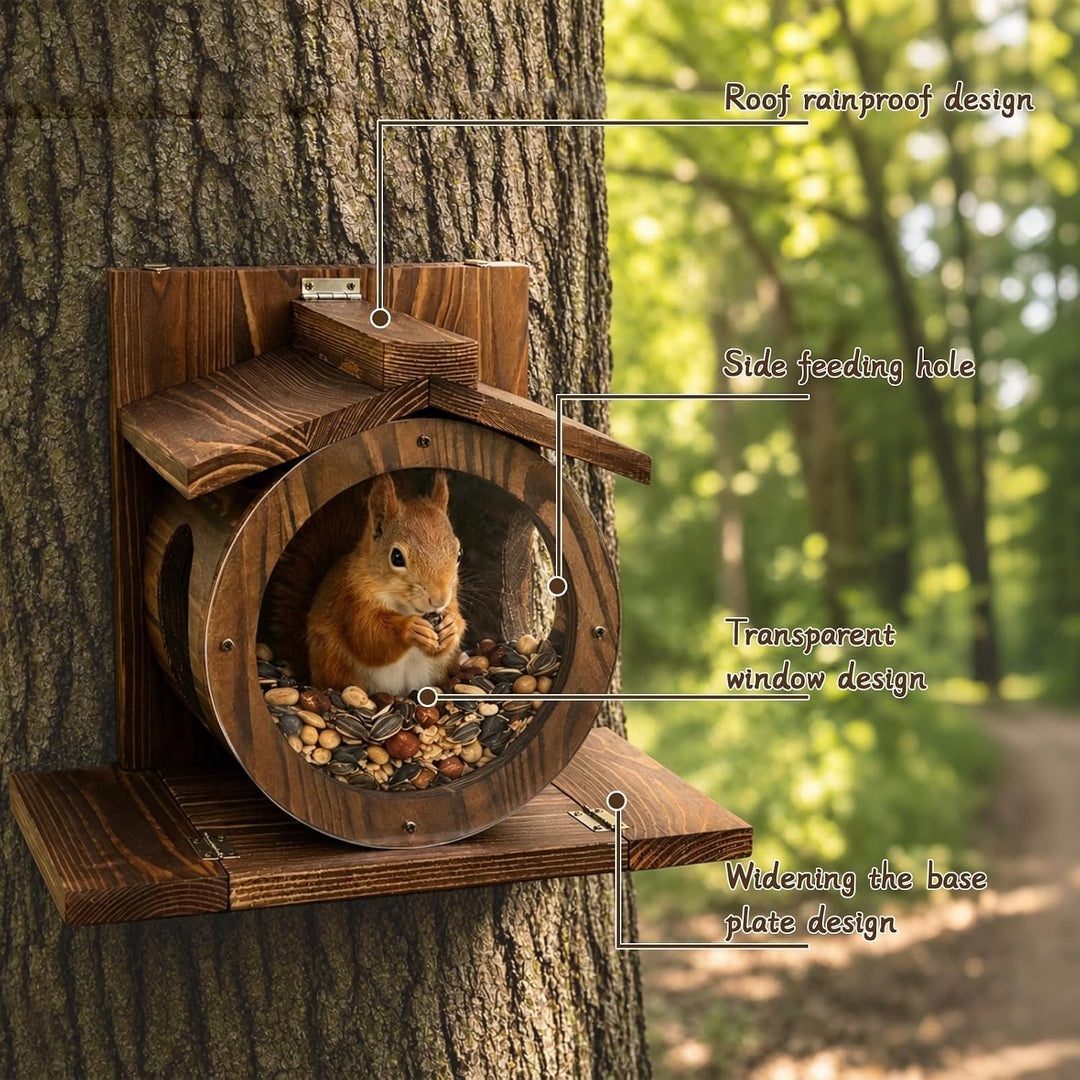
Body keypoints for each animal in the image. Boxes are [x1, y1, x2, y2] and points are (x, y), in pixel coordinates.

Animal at [290, 471, 466, 695]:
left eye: (459, 553)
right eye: (397, 557)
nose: (438, 600)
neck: (404, 607)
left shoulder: (451, 600)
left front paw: (452, 626)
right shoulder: (352, 600)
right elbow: (369, 636)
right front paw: (410, 628)